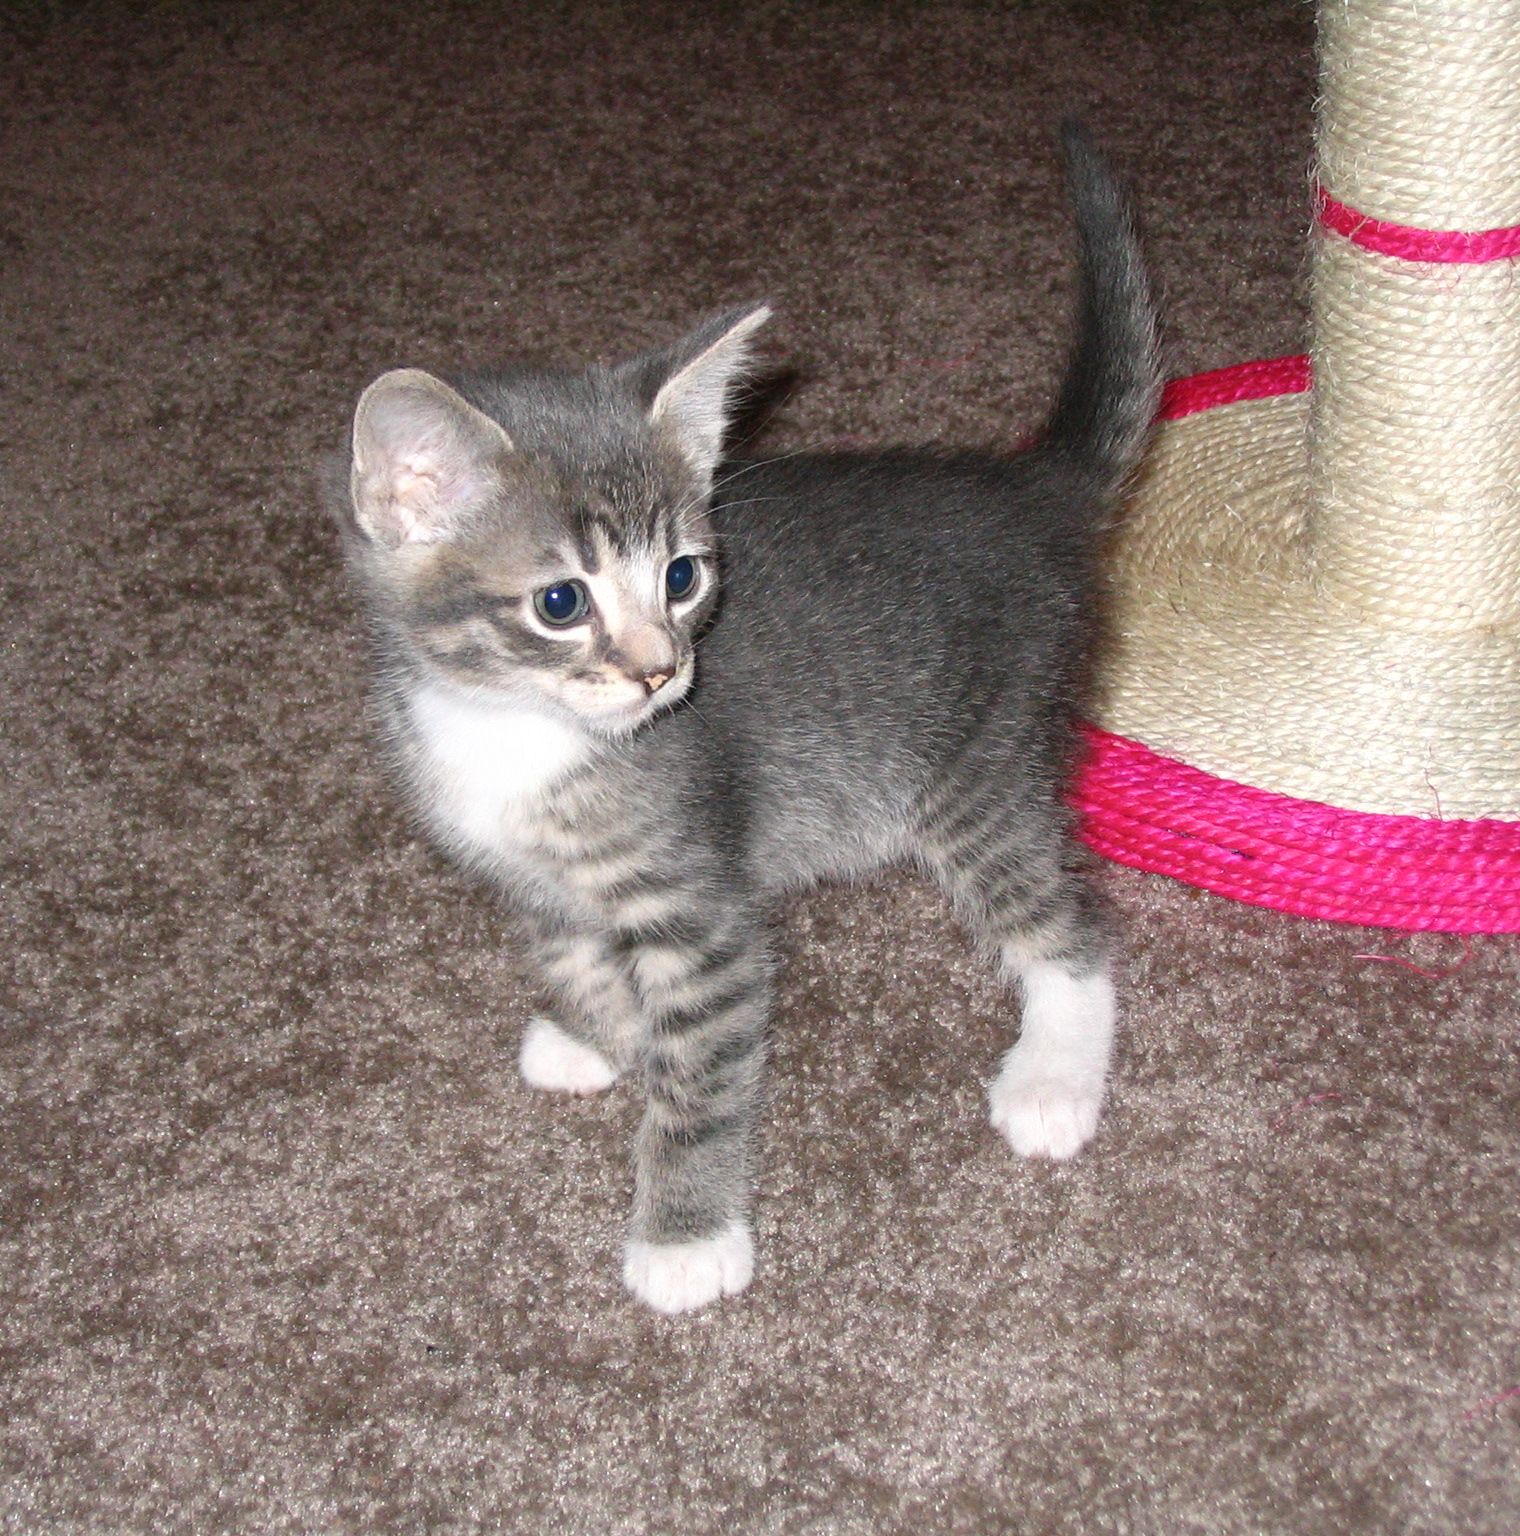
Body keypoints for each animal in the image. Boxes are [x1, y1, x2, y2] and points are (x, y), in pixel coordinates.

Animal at [333, 125, 1160, 1314]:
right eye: (560, 602)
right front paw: (598, 1032)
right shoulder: (533, 875)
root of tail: (1027, 490)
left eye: (682, 576)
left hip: (981, 763)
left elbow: (702, 1081)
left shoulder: (702, 909)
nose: (659, 673)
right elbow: (577, 957)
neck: (510, 726)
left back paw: (1055, 1076)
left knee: (1068, 926)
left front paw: (684, 1231)